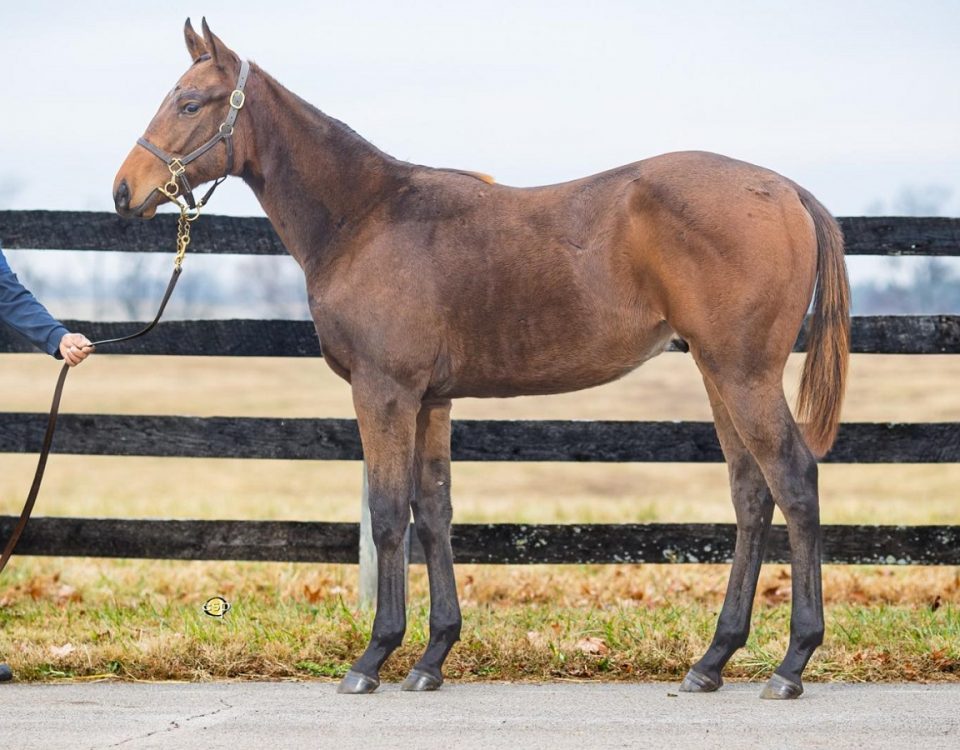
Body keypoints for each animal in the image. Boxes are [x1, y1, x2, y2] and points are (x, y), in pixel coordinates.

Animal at [110, 19, 848, 700]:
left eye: (190, 102)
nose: (123, 191)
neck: (365, 217)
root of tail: (786, 190)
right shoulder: (432, 398)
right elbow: (433, 512)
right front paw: (432, 657)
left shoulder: (385, 391)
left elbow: (390, 513)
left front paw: (373, 658)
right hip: (717, 373)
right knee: (752, 492)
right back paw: (712, 659)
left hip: (743, 374)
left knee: (794, 479)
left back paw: (791, 662)